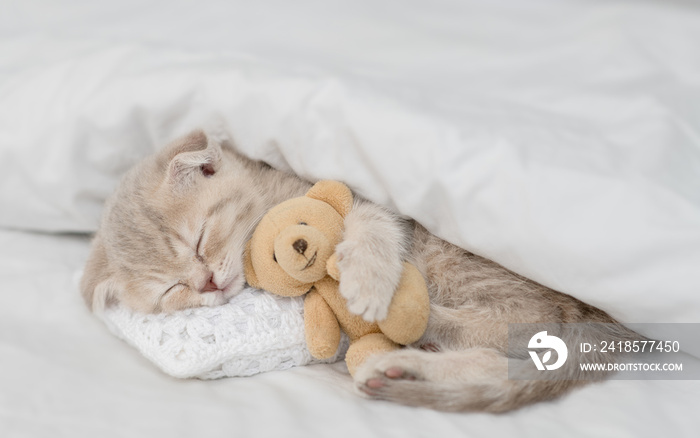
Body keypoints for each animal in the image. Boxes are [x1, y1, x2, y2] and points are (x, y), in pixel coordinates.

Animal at [80, 129, 636, 410]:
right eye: (171, 291)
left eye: (198, 240)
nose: (208, 283)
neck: (267, 194)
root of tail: (614, 328)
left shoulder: (361, 197)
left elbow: (369, 221)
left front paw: (365, 281)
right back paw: (402, 365)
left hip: (458, 258)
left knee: (529, 326)